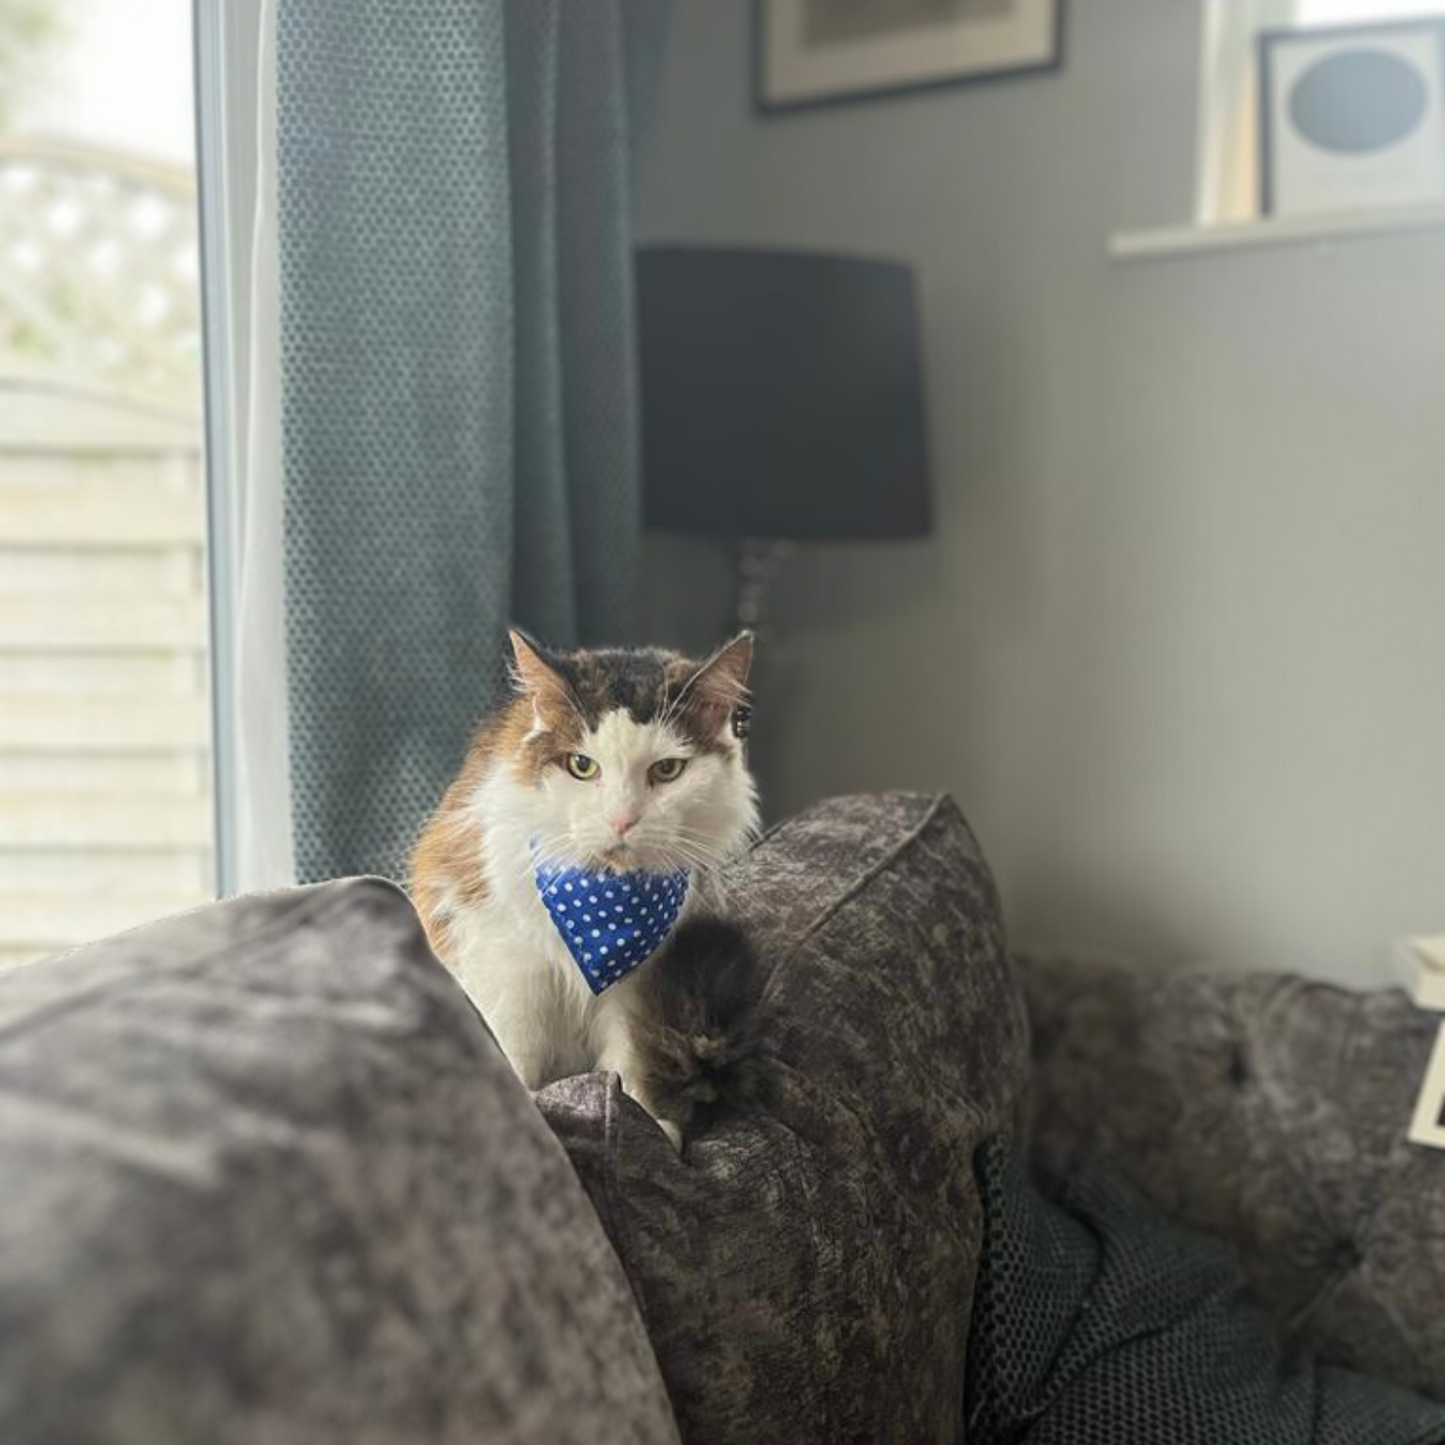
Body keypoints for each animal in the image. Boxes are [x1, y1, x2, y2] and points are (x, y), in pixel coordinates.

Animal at [410, 632, 757, 1150]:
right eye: (582, 766)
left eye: (667, 771)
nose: (622, 820)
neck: (603, 908)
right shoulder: (509, 963)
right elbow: (513, 1051)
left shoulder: (643, 979)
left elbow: (631, 1060)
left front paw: (651, 1126)